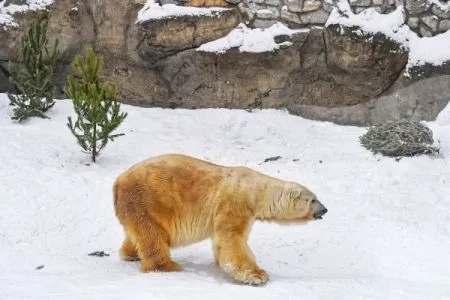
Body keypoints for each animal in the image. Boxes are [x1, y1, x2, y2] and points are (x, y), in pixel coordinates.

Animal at [113, 154, 326, 284]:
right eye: (313, 199)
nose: (325, 210)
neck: (256, 191)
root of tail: (117, 182)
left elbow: (220, 241)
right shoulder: (235, 204)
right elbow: (232, 240)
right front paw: (258, 275)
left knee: (139, 233)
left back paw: (131, 253)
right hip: (147, 200)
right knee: (152, 235)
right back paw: (166, 266)